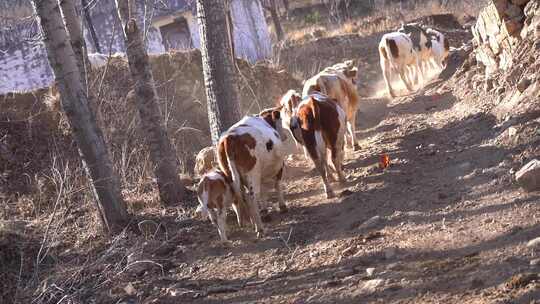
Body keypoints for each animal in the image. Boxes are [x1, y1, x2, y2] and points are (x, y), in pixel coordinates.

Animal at [216, 107, 288, 238]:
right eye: (280, 120)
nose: (285, 135)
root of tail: (230, 137)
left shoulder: (261, 174)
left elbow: (264, 191)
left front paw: (264, 210)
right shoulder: (279, 167)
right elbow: (277, 185)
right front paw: (282, 206)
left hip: (230, 175)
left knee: (240, 198)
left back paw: (249, 222)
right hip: (252, 174)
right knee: (252, 198)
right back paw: (260, 228)